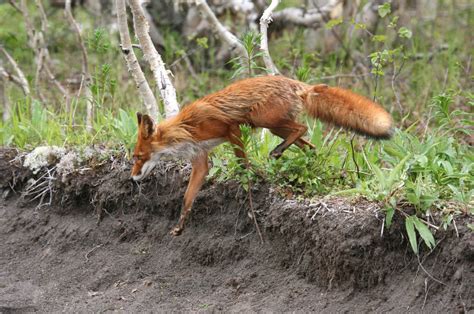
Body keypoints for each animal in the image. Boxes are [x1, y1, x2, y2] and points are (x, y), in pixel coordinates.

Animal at [131, 74, 392, 236]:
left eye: (137, 157)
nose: (132, 178)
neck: (186, 128)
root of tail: (298, 84)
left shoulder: (230, 129)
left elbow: (241, 161)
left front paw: (250, 179)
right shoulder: (200, 160)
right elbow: (187, 198)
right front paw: (180, 226)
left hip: (262, 119)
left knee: (302, 129)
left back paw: (278, 152)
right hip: (275, 126)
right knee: (309, 145)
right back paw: (304, 161)